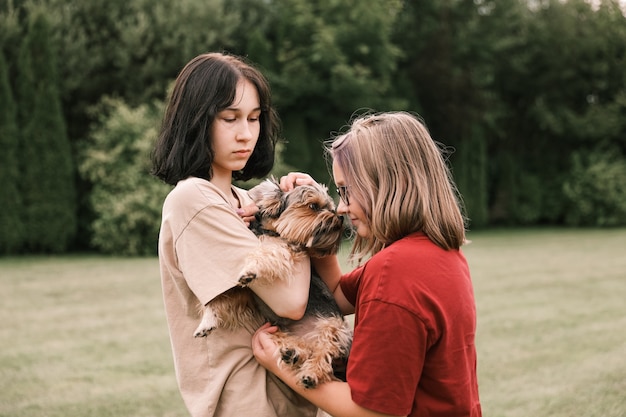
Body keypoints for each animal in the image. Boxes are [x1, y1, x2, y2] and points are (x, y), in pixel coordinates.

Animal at [194, 177, 352, 388]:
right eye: (313, 206)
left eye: (331, 208)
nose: (340, 217)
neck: (270, 231)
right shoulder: (246, 293)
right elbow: (222, 297)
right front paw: (207, 321)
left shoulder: (286, 250)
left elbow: (267, 252)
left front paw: (251, 269)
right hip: (277, 331)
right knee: (307, 348)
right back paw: (294, 353)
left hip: (333, 327)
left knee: (325, 351)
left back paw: (311, 373)